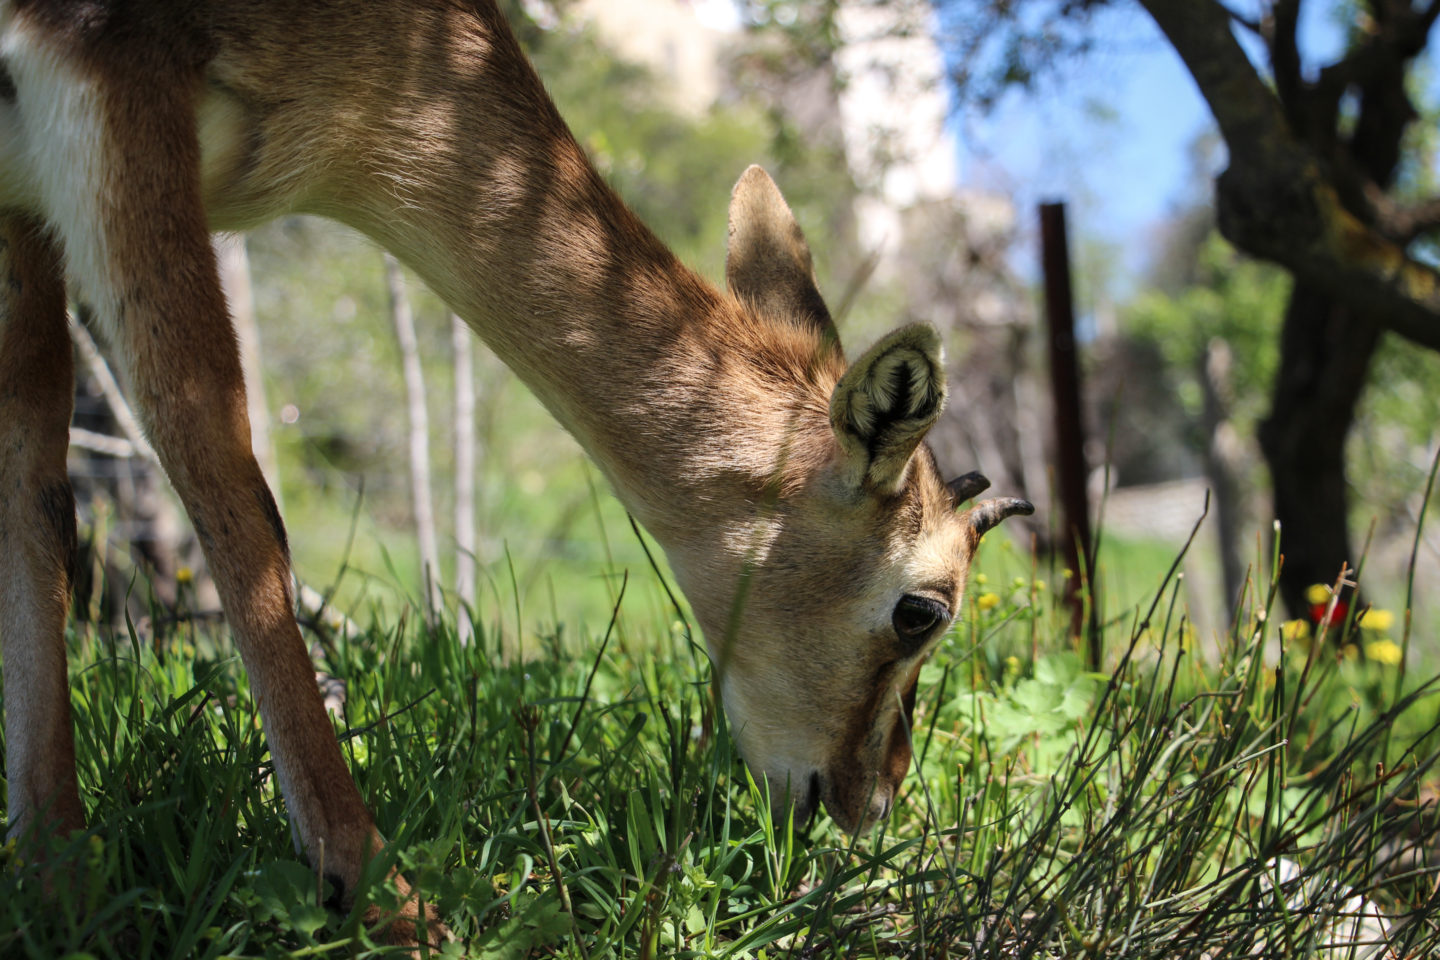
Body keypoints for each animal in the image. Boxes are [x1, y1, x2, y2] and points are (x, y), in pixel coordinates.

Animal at [2, 0, 1036, 944]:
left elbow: (36, 487)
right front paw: (383, 895)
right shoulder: (113, 92)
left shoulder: (23, 195)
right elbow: (229, 482)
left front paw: (59, 884)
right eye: (922, 609)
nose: (876, 796)